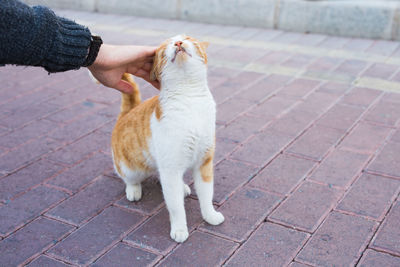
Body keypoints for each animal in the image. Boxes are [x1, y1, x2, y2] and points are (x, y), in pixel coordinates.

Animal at [111, 34, 225, 244]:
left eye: (188, 38)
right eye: (165, 48)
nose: (178, 43)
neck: (190, 99)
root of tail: (128, 112)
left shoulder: (204, 163)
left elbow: (206, 195)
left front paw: (210, 215)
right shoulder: (171, 169)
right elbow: (176, 207)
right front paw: (179, 229)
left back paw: (183, 187)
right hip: (131, 168)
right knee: (129, 179)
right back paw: (133, 190)